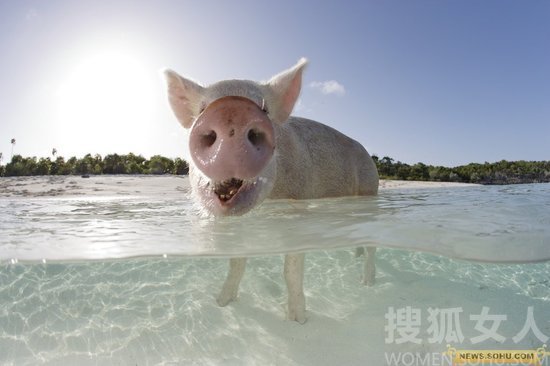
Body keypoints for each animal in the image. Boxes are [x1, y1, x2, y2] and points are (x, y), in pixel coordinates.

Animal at [164, 58, 380, 324]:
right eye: (202, 109)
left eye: (265, 109)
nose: (231, 110)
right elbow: (236, 262)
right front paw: (222, 302)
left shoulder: (300, 202)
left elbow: (291, 269)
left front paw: (298, 320)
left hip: (370, 190)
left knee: (372, 244)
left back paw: (367, 283)